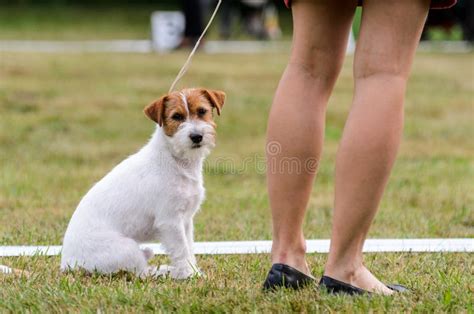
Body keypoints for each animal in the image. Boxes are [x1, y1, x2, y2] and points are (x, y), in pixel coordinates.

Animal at [59, 87, 226, 278]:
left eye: (202, 111)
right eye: (176, 116)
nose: (196, 136)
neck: (175, 158)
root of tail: (67, 264)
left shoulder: (185, 221)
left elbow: (189, 248)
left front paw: (193, 271)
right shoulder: (170, 221)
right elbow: (182, 250)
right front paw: (189, 274)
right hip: (127, 249)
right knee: (140, 273)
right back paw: (165, 271)